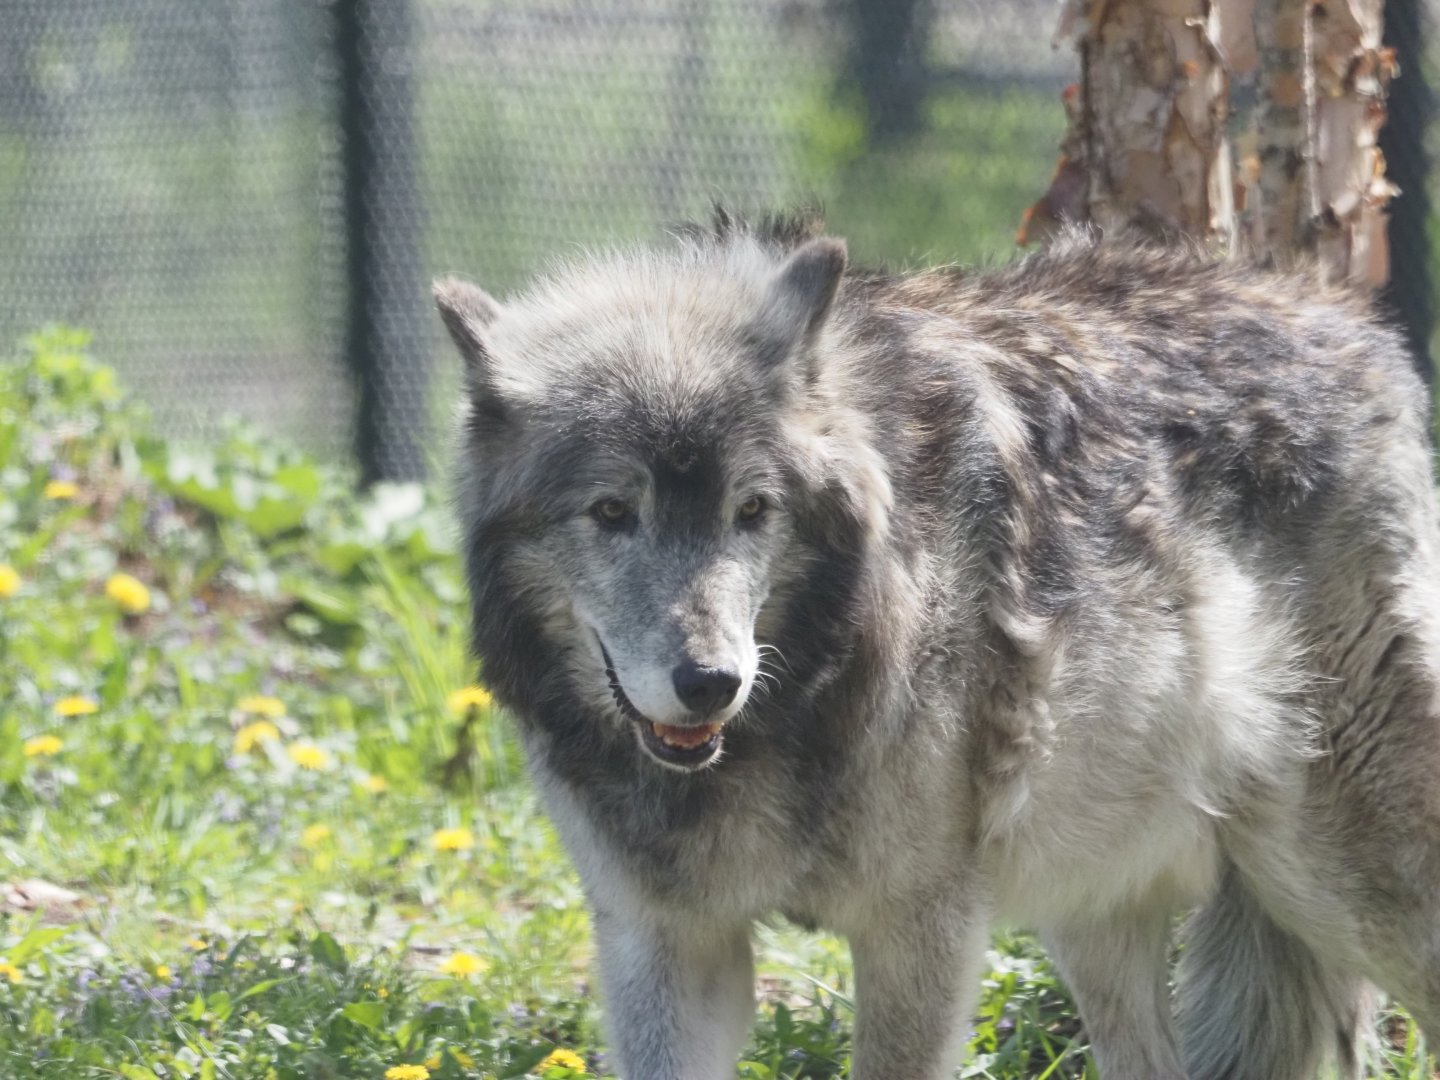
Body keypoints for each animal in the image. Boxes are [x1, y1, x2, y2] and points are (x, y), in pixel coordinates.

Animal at [435, 212, 1440, 1080]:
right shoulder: (666, 943)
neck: (795, 700)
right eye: (612, 512)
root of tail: (1360, 325)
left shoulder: (919, 931)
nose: (712, 682)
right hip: (1096, 906)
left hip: (1341, 883)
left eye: (751, 510)